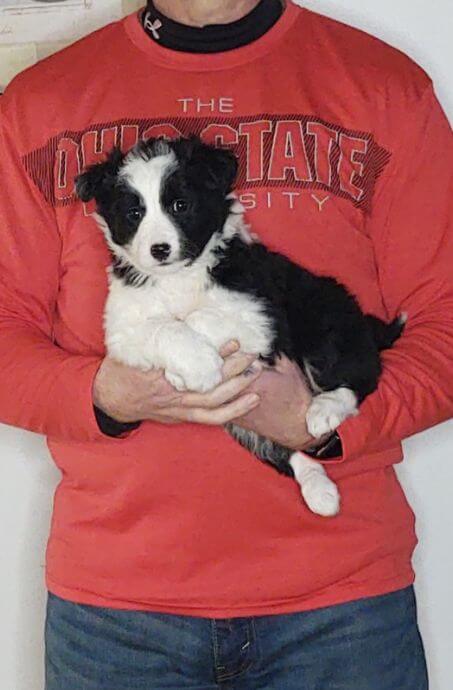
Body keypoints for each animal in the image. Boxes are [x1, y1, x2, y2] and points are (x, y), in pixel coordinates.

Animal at [76, 137, 404, 516]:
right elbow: (165, 327)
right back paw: (319, 491)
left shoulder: (260, 319)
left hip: (324, 323)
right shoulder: (122, 331)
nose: (160, 249)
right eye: (134, 213)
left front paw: (196, 368)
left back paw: (324, 410)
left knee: (358, 378)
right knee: (284, 452)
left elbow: (201, 316)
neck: (178, 277)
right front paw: (195, 367)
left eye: (180, 205)